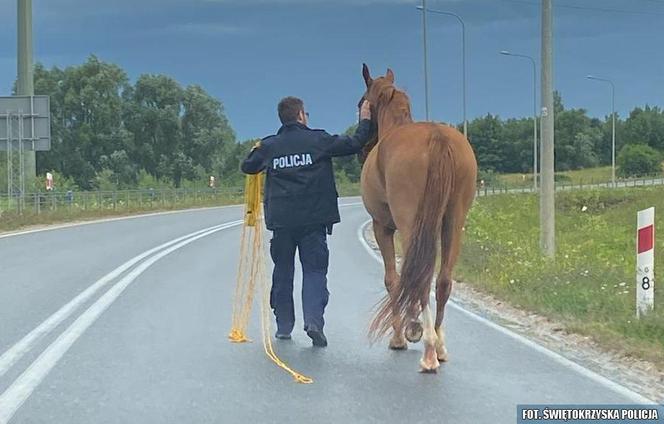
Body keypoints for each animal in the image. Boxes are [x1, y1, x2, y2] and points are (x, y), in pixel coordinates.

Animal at [358, 64, 478, 372]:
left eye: (361, 103)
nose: (363, 146)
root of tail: (437, 138)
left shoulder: (383, 227)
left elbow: (393, 278)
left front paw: (402, 334)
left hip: (410, 223)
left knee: (420, 277)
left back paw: (428, 350)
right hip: (452, 223)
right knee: (443, 280)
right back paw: (440, 345)